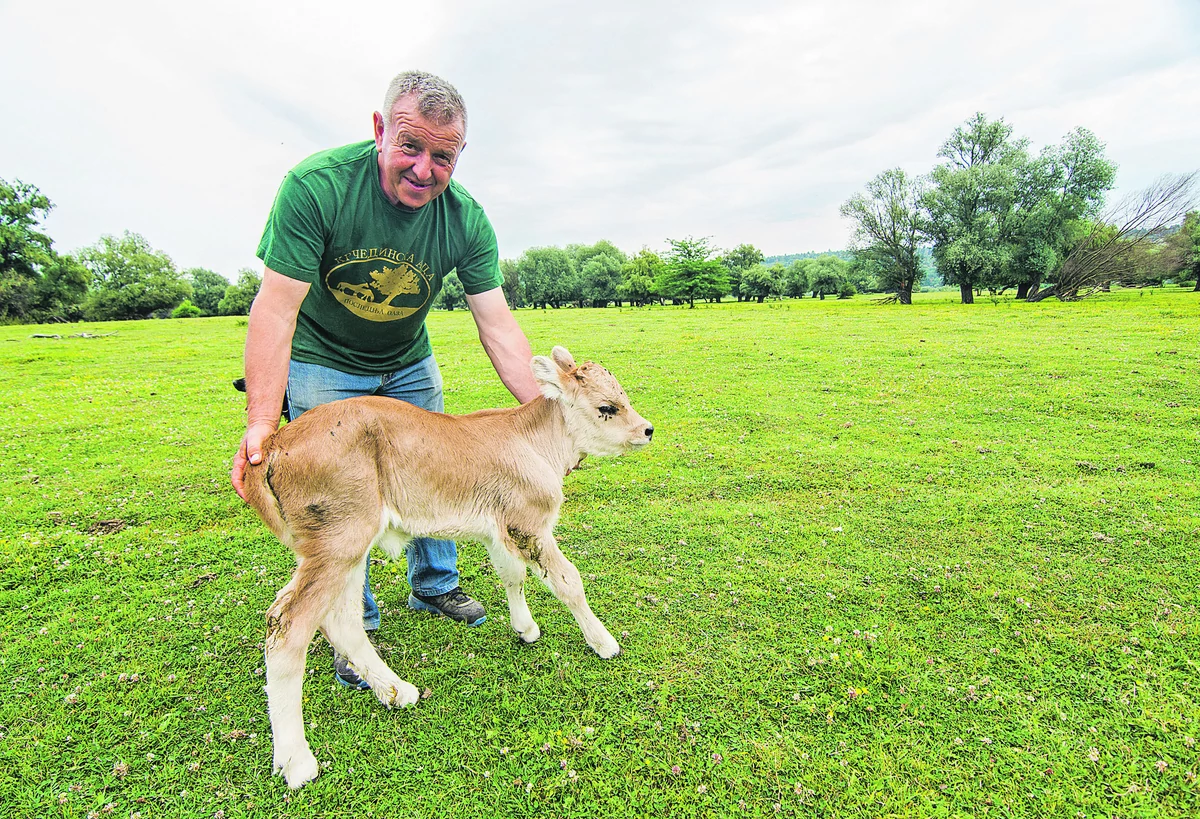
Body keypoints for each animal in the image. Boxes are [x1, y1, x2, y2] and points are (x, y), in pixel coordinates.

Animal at [242, 343, 652, 782]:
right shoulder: (529, 524)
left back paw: (397, 691)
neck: (535, 443)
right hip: (338, 540)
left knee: (343, 620)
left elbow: (512, 575)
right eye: (608, 406)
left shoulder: (499, 529)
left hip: (344, 548)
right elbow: (567, 581)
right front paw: (604, 642)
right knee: (288, 624)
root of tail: (274, 443)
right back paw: (296, 760)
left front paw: (525, 628)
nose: (647, 430)